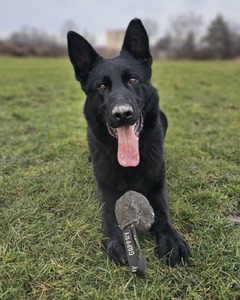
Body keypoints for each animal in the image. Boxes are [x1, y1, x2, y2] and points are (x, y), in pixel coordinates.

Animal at [66, 18, 190, 268]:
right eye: (102, 86)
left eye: (133, 80)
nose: (122, 114)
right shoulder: (106, 189)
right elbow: (109, 213)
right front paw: (118, 239)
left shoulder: (158, 186)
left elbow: (162, 211)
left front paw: (171, 239)